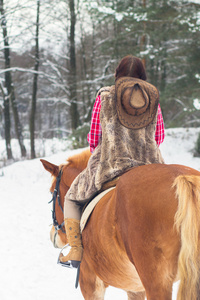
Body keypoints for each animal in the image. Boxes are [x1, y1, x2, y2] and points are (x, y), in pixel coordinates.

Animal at [41, 148, 200, 300]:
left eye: (51, 192)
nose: (52, 235)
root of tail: (182, 177)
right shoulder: (135, 288)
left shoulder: (89, 282)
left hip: (157, 282)